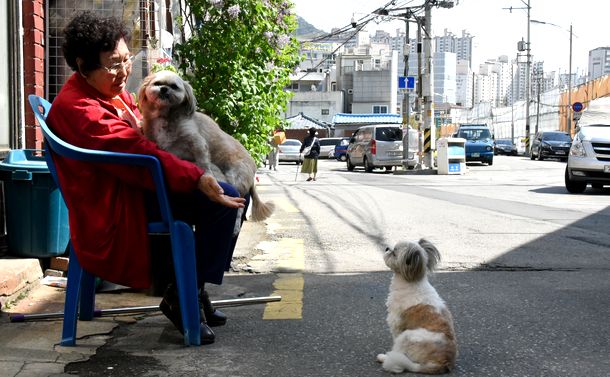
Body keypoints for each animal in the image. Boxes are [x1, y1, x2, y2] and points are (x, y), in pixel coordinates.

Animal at [138, 70, 274, 229]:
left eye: (174, 86)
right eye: (157, 83)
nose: (164, 89)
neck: (166, 117)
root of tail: (252, 173)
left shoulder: (197, 142)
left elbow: (203, 163)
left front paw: (207, 177)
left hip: (235, 178)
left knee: (239, 206)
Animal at [376, 238, 456, 374]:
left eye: (394, 253)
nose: (387, 248)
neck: (411, 281)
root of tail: (443, 362)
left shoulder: (396, 324)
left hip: (407, 336)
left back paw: (384, 357)